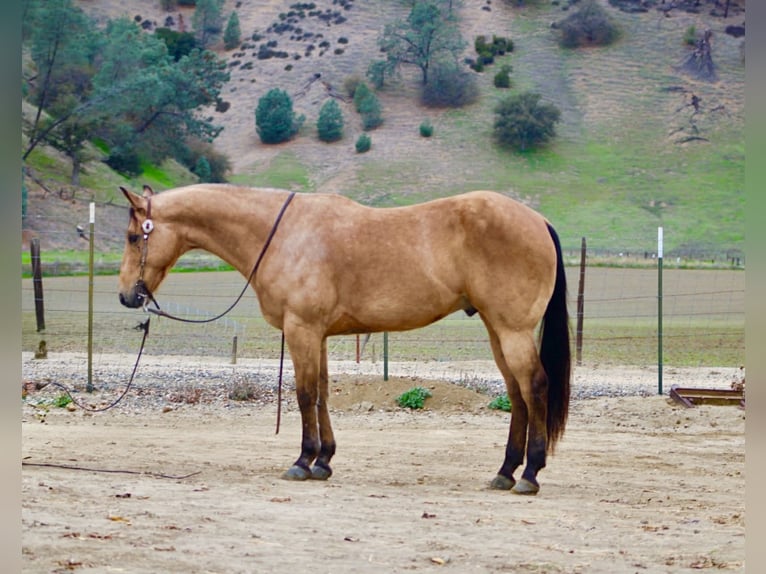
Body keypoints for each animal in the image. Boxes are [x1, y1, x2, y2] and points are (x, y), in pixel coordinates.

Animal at [118, 184, 571, 495]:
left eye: (133, 236)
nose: (126, 296)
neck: (282, 234)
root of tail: (539, 222)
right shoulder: (316, 334)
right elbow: (321, 394)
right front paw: (324, 461)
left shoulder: (301, 329)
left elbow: (303, 395)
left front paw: (303, 460)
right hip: (497, 331)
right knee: (516, 394)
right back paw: (505, 471)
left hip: (512, 331)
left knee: (534, 387)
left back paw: (529, 474)